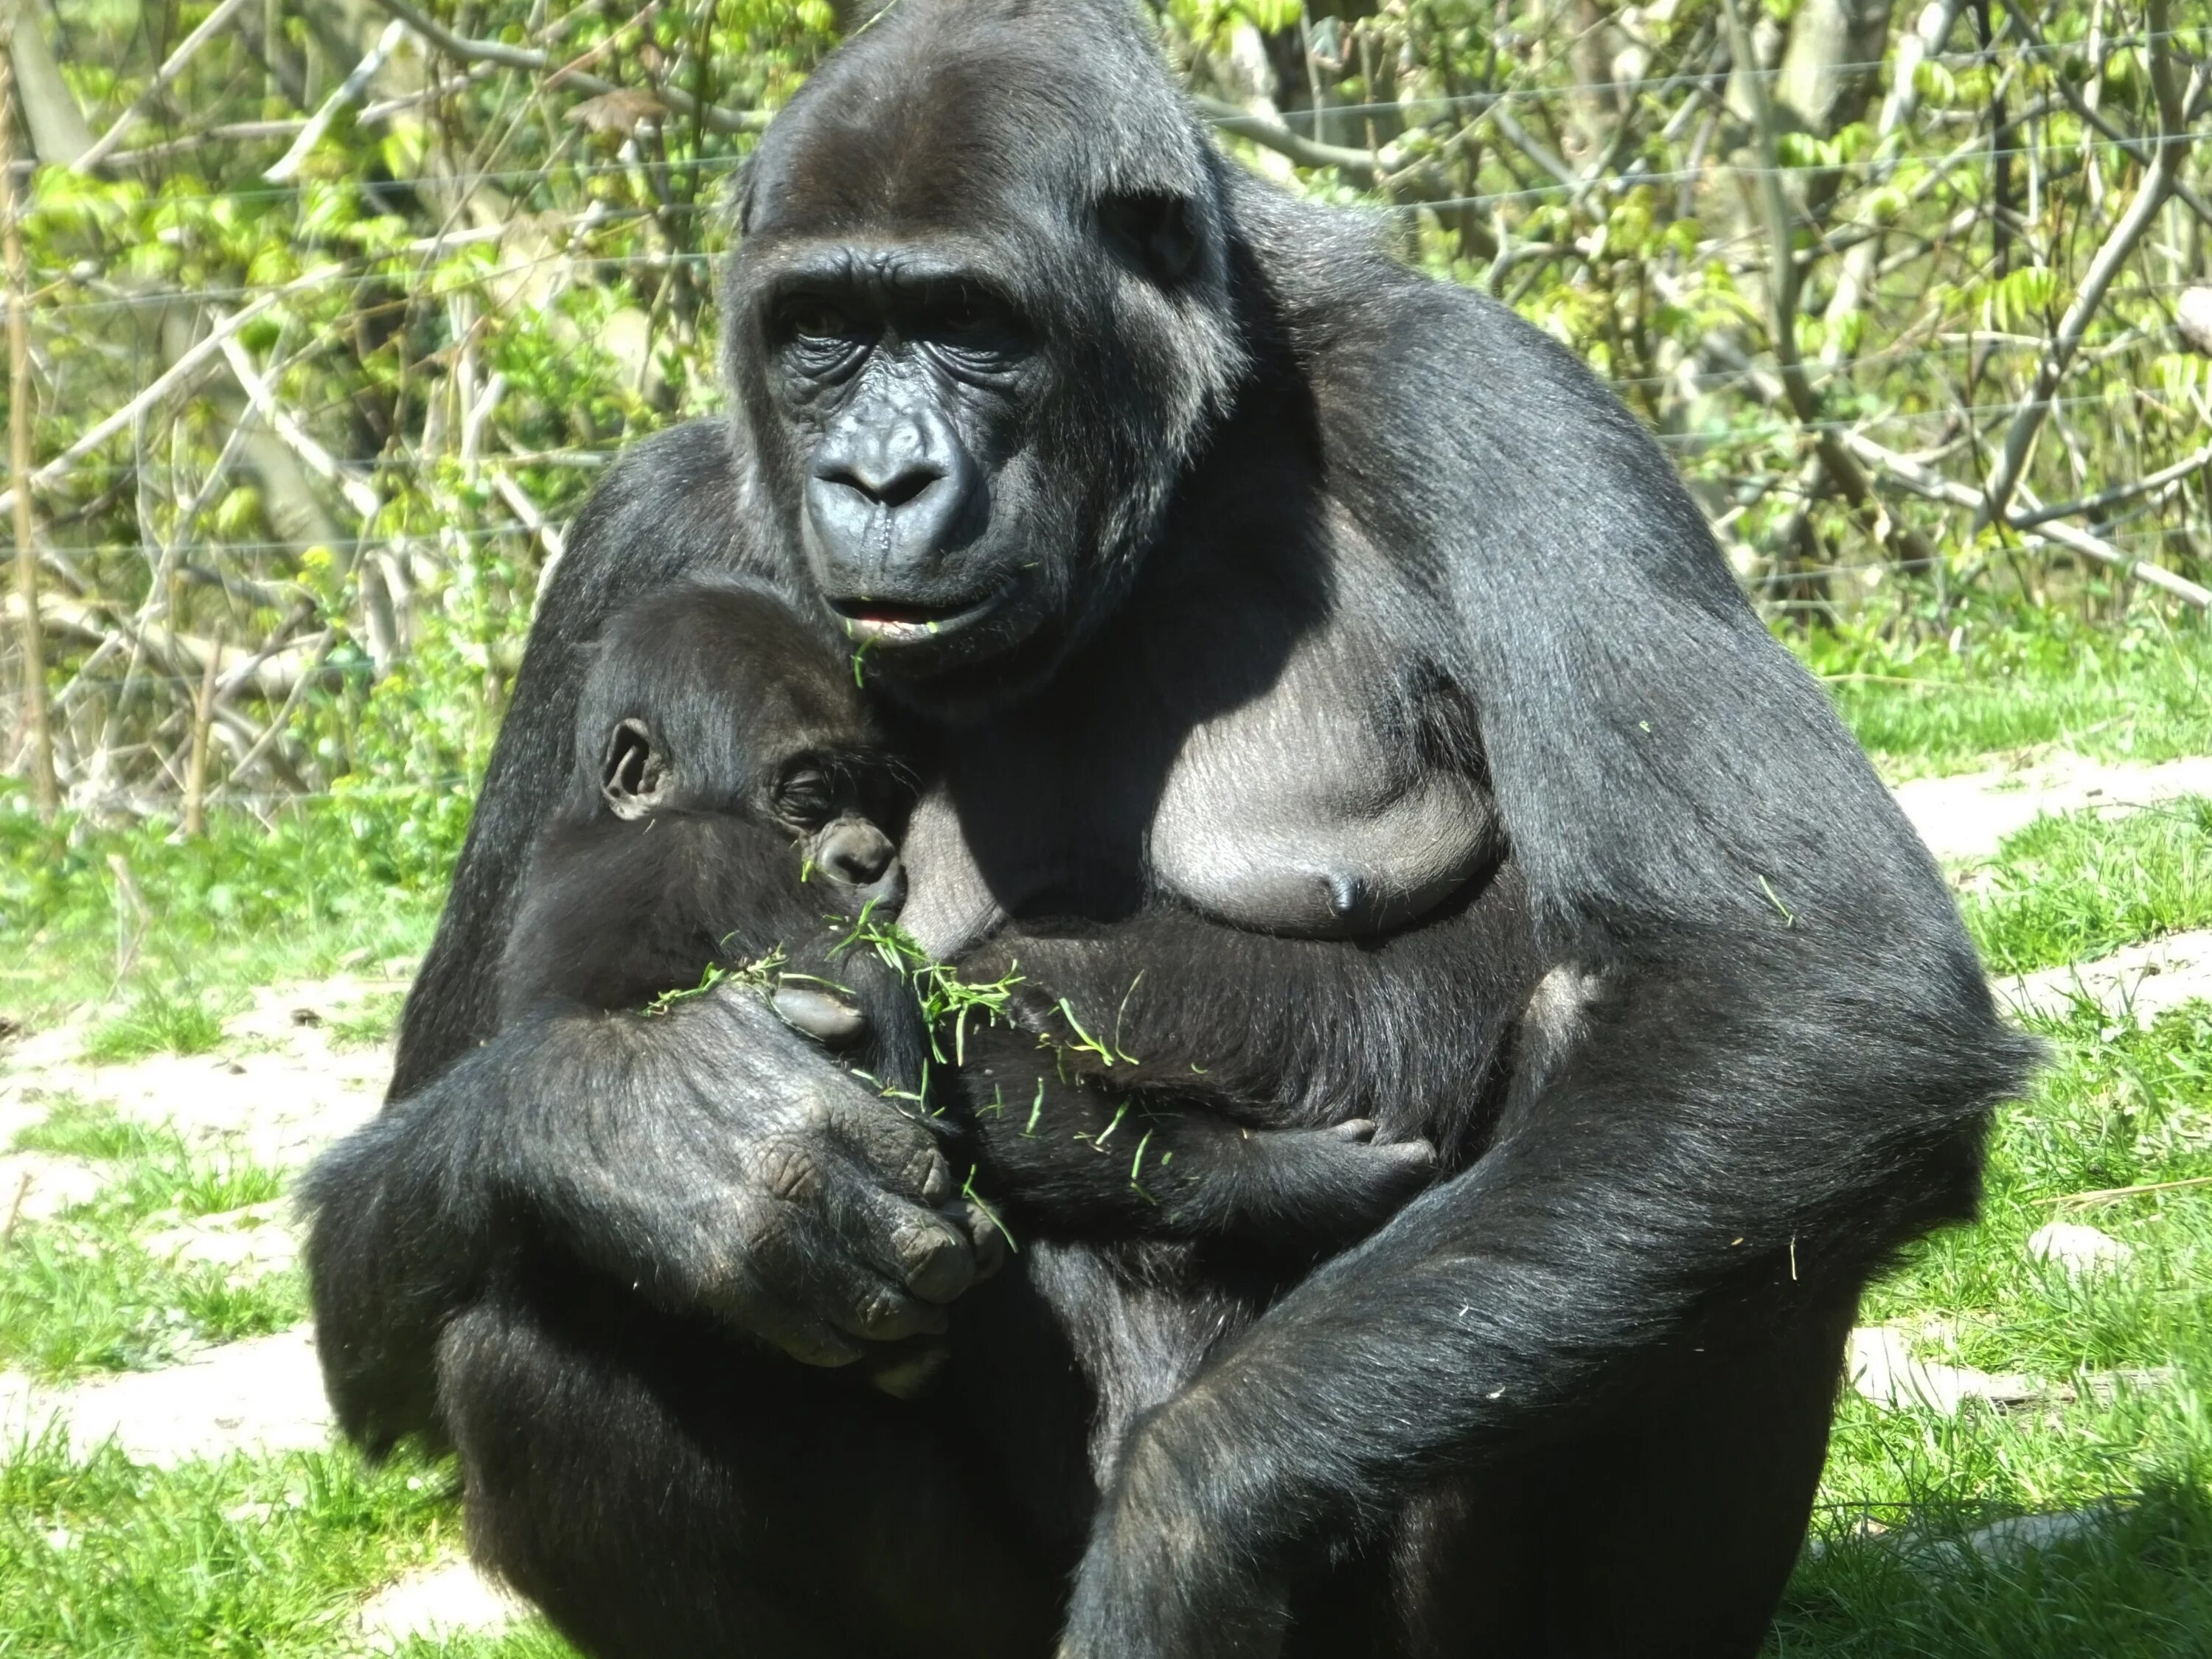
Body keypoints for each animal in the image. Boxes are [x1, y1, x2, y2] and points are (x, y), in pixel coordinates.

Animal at [500, 575, 1433, 1274]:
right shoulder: (729, 863)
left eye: (876, 795)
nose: (872, 856)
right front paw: (1289, 1177)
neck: (610, 818)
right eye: (809, 798)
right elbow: (919, 1050)